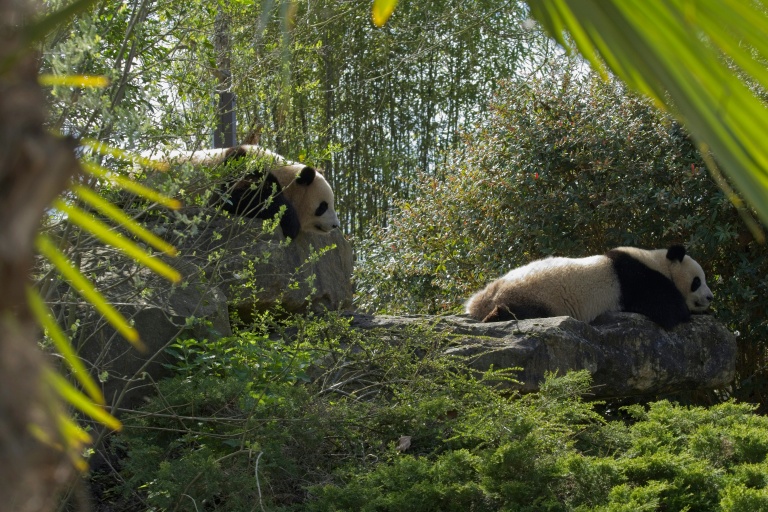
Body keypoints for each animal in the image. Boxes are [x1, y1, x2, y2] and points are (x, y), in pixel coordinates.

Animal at [465, 246, 713, 329]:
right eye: (697, 281)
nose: (710, 297)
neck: (660, 262)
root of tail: (482, 300)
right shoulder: (638, 279)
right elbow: (669, 311)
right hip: (535, 296)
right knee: (522, 311)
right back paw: (494, 317)